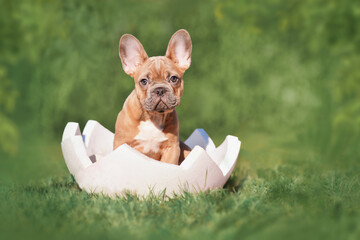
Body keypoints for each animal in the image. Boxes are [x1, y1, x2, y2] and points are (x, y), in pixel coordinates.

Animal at [114, 29, 193, 165]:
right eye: (144, 81)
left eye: (173, 79)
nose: (160, 90)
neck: (153, 116)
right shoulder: (121, 145)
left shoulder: (171, 148)